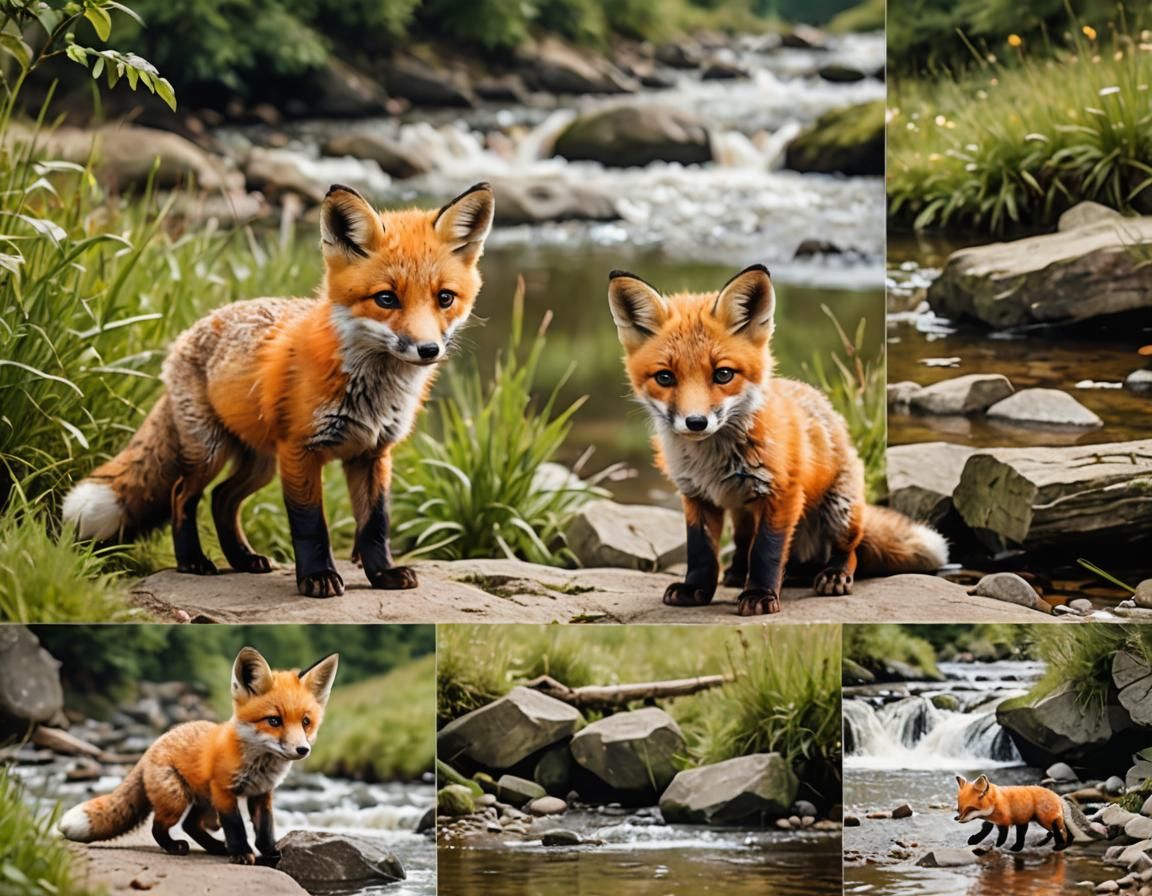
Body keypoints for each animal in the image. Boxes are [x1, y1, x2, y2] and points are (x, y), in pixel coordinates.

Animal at [58, 646, 339, 864]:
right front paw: (241, 854)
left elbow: (265, 830)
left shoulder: (262, 793)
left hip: (203, 802)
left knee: (190, 825)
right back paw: (175, 847)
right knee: (159, 827)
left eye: (305, 722)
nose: (302, 750)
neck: (258, 763)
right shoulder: (224, 792)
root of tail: (154, 743)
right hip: (178, 799)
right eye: (274, 720)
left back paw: (216, 847)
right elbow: (236, 827)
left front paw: (269, 853)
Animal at [62, 183, 494, 597]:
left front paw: (382, 573)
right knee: (183, 495)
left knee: (222, 499)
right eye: (386, 298)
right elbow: (310, 525)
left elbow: (375, 523)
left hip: (260, 463)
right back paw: (193, 561)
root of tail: (186, 335)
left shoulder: (372, 453)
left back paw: (242, 558)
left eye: (445, 298)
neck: (371, 391)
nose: (428, 349)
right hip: (212, 453)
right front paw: (318, 578)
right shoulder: (300, 451)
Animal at [607, 264, 948, 616]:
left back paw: (833, 574)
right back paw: (741, 574)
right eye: (665, 377)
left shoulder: (782, 493)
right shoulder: (696, 496)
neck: (712, 460)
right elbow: (700, 551)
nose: (696, 422)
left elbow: (766, 552)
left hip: (840, 511)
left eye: (723, 374)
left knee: (847, 550)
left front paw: (759, 594)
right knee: (745, 546)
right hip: (742, 512)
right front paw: (695, 588)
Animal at [954, 774, 1101, 852]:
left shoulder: (1005, 822)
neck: (995, 802)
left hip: (1045, 819)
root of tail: (1057, 795)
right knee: (1056, 832)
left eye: (969, 808)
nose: (956, 818)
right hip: (1041, 820)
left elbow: (1002, 838)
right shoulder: (1000, 821)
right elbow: (984, 830)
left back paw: (1059, 846)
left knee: (1062, 831)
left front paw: (998, 847)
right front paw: (975, 839)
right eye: (959, 808)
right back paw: (1043, 844)